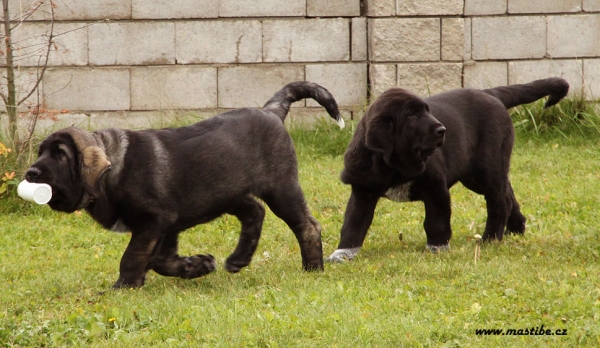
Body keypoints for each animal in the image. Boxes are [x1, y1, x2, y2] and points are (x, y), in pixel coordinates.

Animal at [25, 81, 344, 288]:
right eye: (41, 152)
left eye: (60, 155)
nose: (30, 173)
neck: (112, 173)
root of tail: (270, 111)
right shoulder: (166, 225)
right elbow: (159, 260)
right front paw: (197, 266)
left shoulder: (154, 221)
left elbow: (133, 256)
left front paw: (124, 286)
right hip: (229, 192)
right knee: (255, 212)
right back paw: (239, 259)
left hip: (281, 188)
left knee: (306, 225)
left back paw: (312, 268)